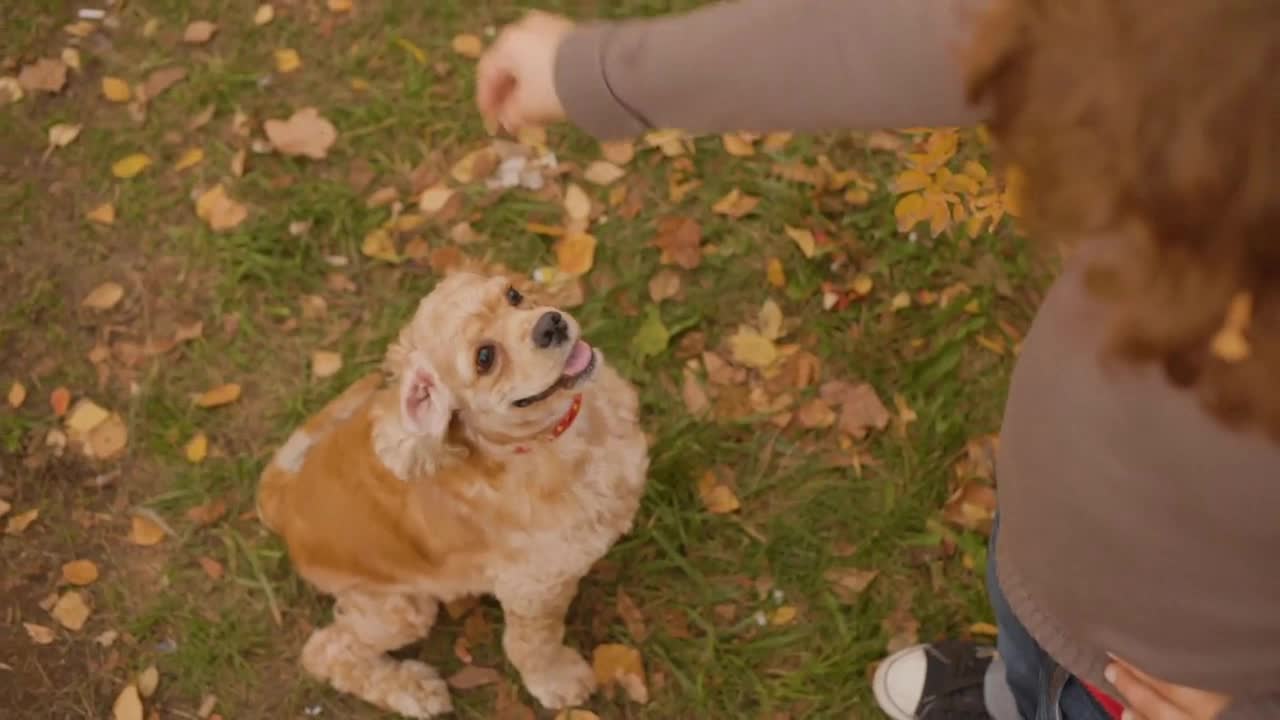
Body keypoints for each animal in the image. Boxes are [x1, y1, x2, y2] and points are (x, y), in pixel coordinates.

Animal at [256, 271, 650, 712]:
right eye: (485, 358)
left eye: (514, 294)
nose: (551, 324)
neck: (553, 440)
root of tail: (285, 499)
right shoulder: (532, 587)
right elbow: (533, 643)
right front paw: (558, 680)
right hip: (398, 607)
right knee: (326, 650)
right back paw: (414, 691)